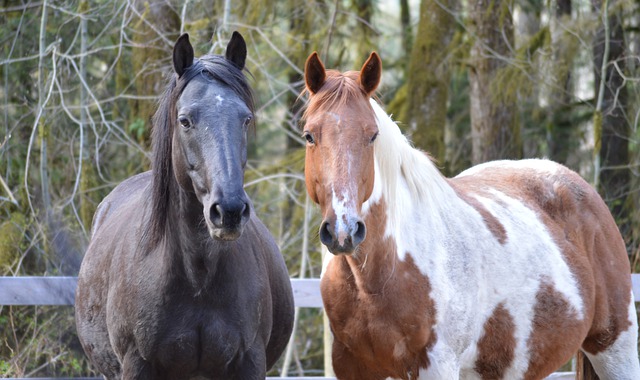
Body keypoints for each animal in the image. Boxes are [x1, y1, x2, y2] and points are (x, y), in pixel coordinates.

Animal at [75, 33, 296, 380]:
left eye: (245, 119)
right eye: (185, 121)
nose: (229, 211)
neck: (197, 278)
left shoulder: (249, 363)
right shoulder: (137, 365)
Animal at [302, 50, 640, 380]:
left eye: (372, 135)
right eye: (309, 135)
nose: (344, 230)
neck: (377, 276)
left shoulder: (437, 365)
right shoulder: (348, 367)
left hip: (615, 349)